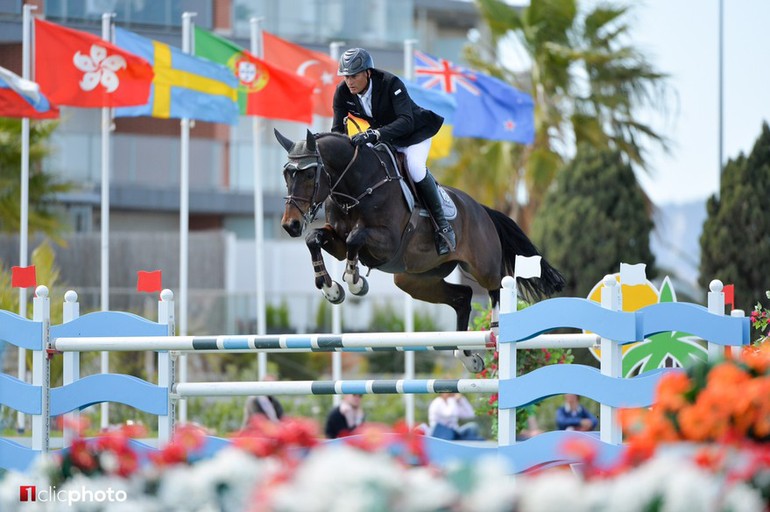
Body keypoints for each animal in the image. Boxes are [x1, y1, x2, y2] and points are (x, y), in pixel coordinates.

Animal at [272, 132, 560, 370]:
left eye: (310, 174)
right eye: (286, 174)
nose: (290, 225)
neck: (355, 187)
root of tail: (482, 209)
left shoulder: (386, 242)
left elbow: (356, 237)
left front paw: (355, 282)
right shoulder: (339, 243)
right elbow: (314, 239)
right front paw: (331, 290)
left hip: (482, 265)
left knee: (497, 285)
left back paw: (496, 331)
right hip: (414, 279)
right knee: (463, 297)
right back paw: (466, 357)